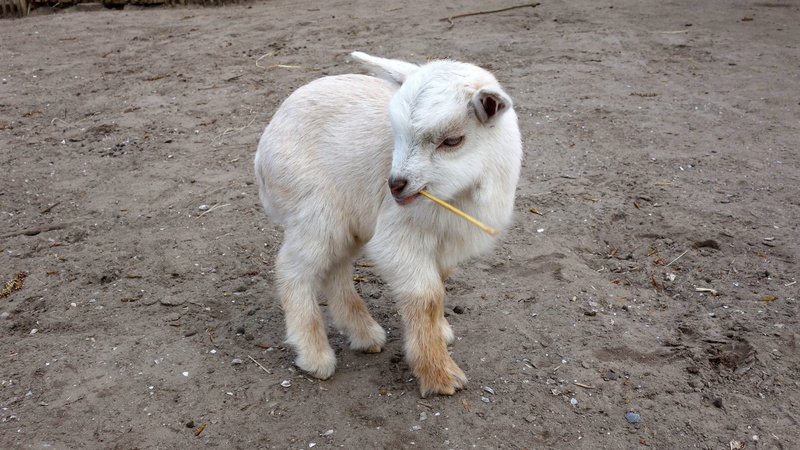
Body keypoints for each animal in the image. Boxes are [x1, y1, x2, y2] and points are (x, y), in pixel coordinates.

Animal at [254, 51, 522, 397]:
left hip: (347, 217)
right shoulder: (398, 237)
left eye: (452, 140)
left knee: (335, 267)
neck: (458, 197)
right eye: (396, 133)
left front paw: (441, 332)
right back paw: (315, 355)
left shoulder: (447, 243)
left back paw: (364, 334)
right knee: (293, 269)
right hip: (313, 207)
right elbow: (426, 296)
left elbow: (440, 286)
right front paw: (440, 375)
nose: (395, 185)